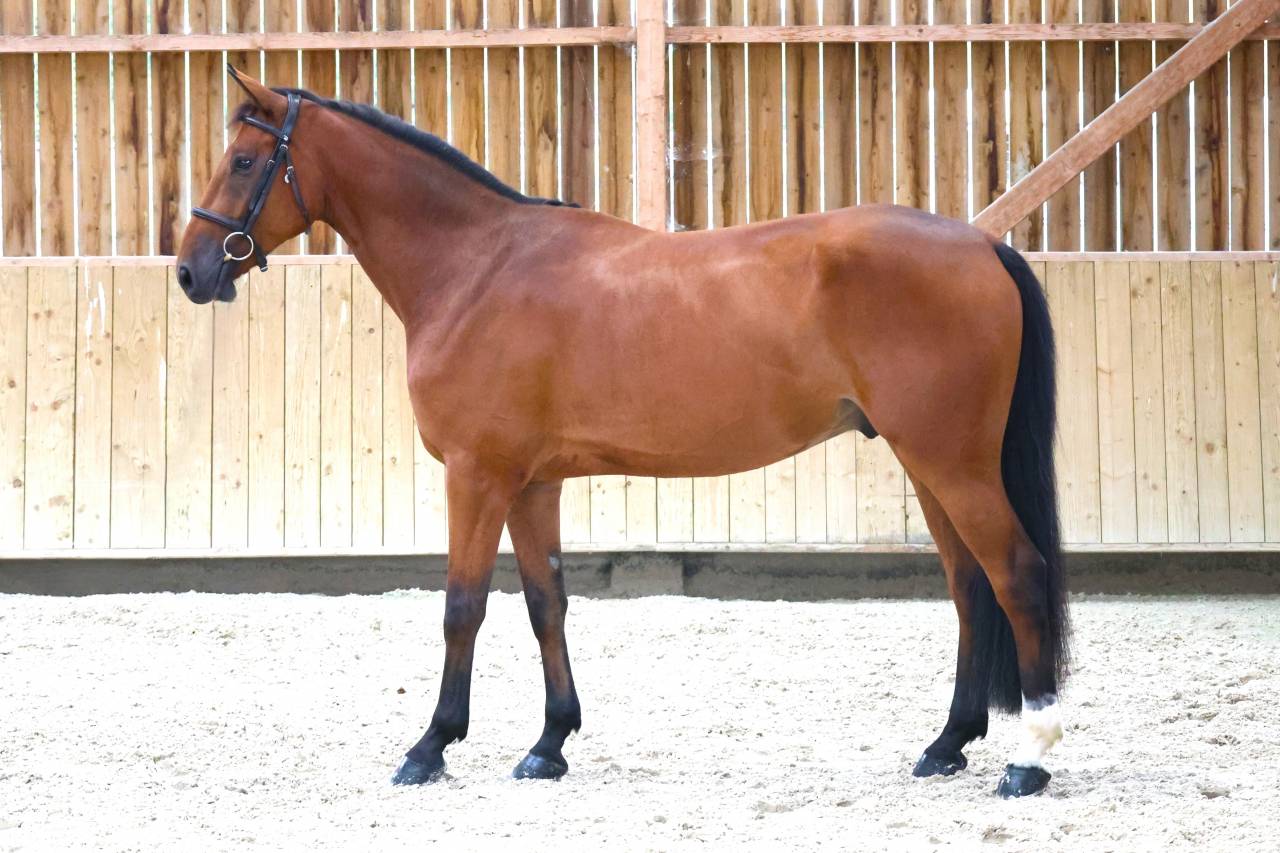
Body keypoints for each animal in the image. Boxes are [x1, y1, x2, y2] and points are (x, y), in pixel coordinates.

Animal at [177, 67, 1070, 799]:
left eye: (247, 162)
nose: (190, 270)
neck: (476, 267)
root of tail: (982, 244)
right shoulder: (531, 482)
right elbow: (547, 603)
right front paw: (548, 744)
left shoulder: (476, 473)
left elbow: (463, 606)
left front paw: (430, 746)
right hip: (930, 465)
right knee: (969, 587)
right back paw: (948, 744)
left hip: (954, 464)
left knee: (1017, 575)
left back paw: (1027, 758)